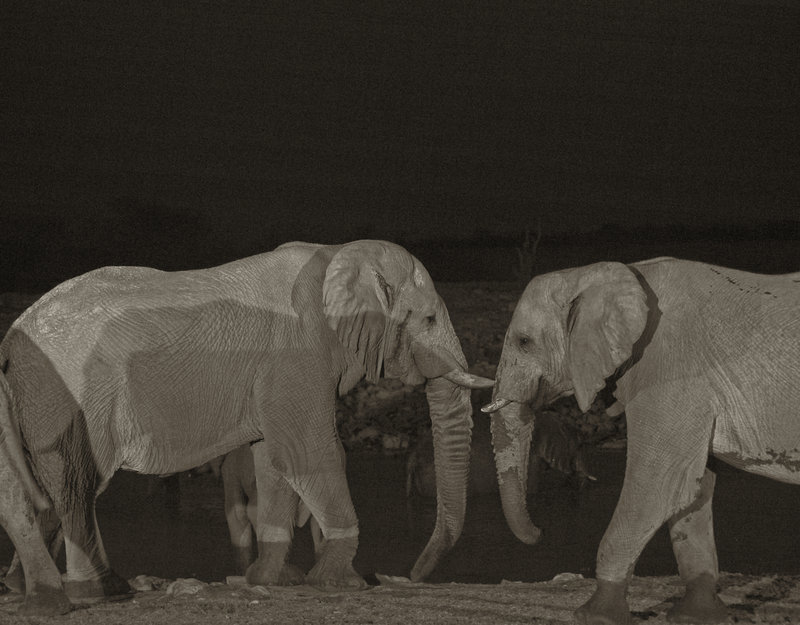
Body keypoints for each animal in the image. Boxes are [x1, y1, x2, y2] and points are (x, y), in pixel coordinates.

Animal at [0, 239, 493, 615]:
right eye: (429, 319)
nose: (412, 574)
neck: (337, 255)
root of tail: (14, 331)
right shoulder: (297, 356)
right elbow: (307, 453)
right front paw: (341, 583)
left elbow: (272, 460)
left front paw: (273, 579)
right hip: (73, 393)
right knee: (77, 482)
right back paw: (98, 591)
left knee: (37, 486)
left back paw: (32, 591)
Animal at [481, 258, 800, 625]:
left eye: (524, 341)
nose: (541, 532)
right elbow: (694, 488)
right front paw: (697, 616)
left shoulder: (669, 374)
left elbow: (657, 484)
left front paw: (594, 615)